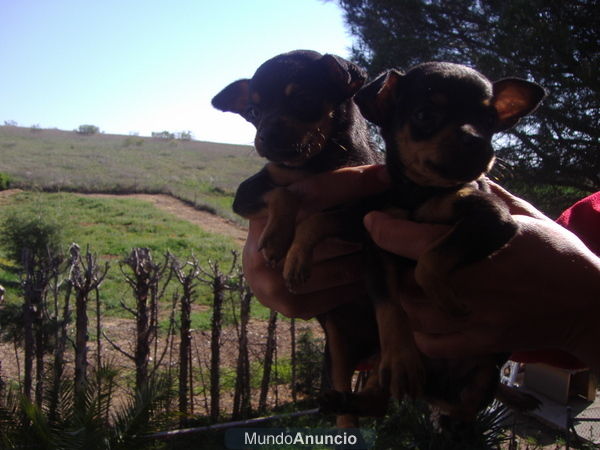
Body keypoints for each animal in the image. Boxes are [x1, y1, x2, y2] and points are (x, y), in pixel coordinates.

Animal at [211, 51, 380, 428]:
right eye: (254, 112)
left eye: (303, 98)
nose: (266, 136)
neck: (314, 164)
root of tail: (371, 354)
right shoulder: (246, 194)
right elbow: (282, 191)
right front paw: (276, 238)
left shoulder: (364, 216)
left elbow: (319, 217)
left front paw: (296, 257)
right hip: (338, 347)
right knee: (358, 399)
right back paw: (339, 406)